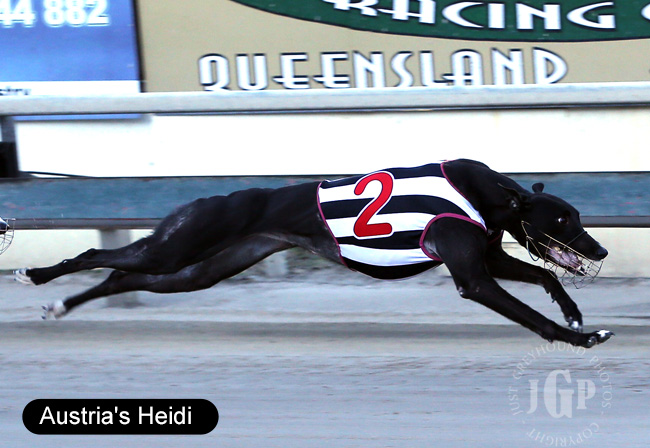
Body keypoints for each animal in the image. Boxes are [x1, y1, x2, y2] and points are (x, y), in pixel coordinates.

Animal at [16, 159, 612, 348]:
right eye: (566, 219)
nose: (600, 247)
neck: (489, 193)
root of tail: (207, 199)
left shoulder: (486, 256)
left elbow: (546, 279)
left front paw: (574, 312)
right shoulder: (472, 275)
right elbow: (529, 314)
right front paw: (578, 337)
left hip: (199, 269)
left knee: (121, 277)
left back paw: (61, 305)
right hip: (178, 246)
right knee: (95, 253)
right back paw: (39, 276)